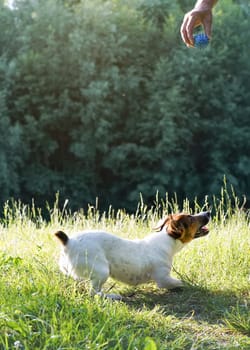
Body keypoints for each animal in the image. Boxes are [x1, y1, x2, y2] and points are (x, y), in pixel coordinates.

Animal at [55, 211, 211, 298]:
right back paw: (113, 296)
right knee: (94, 293)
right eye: (191, 218)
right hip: (102, 271)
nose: (208, 212)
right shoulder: (163, 278)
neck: (167, 240)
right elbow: (180, 282)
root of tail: (68, 242)